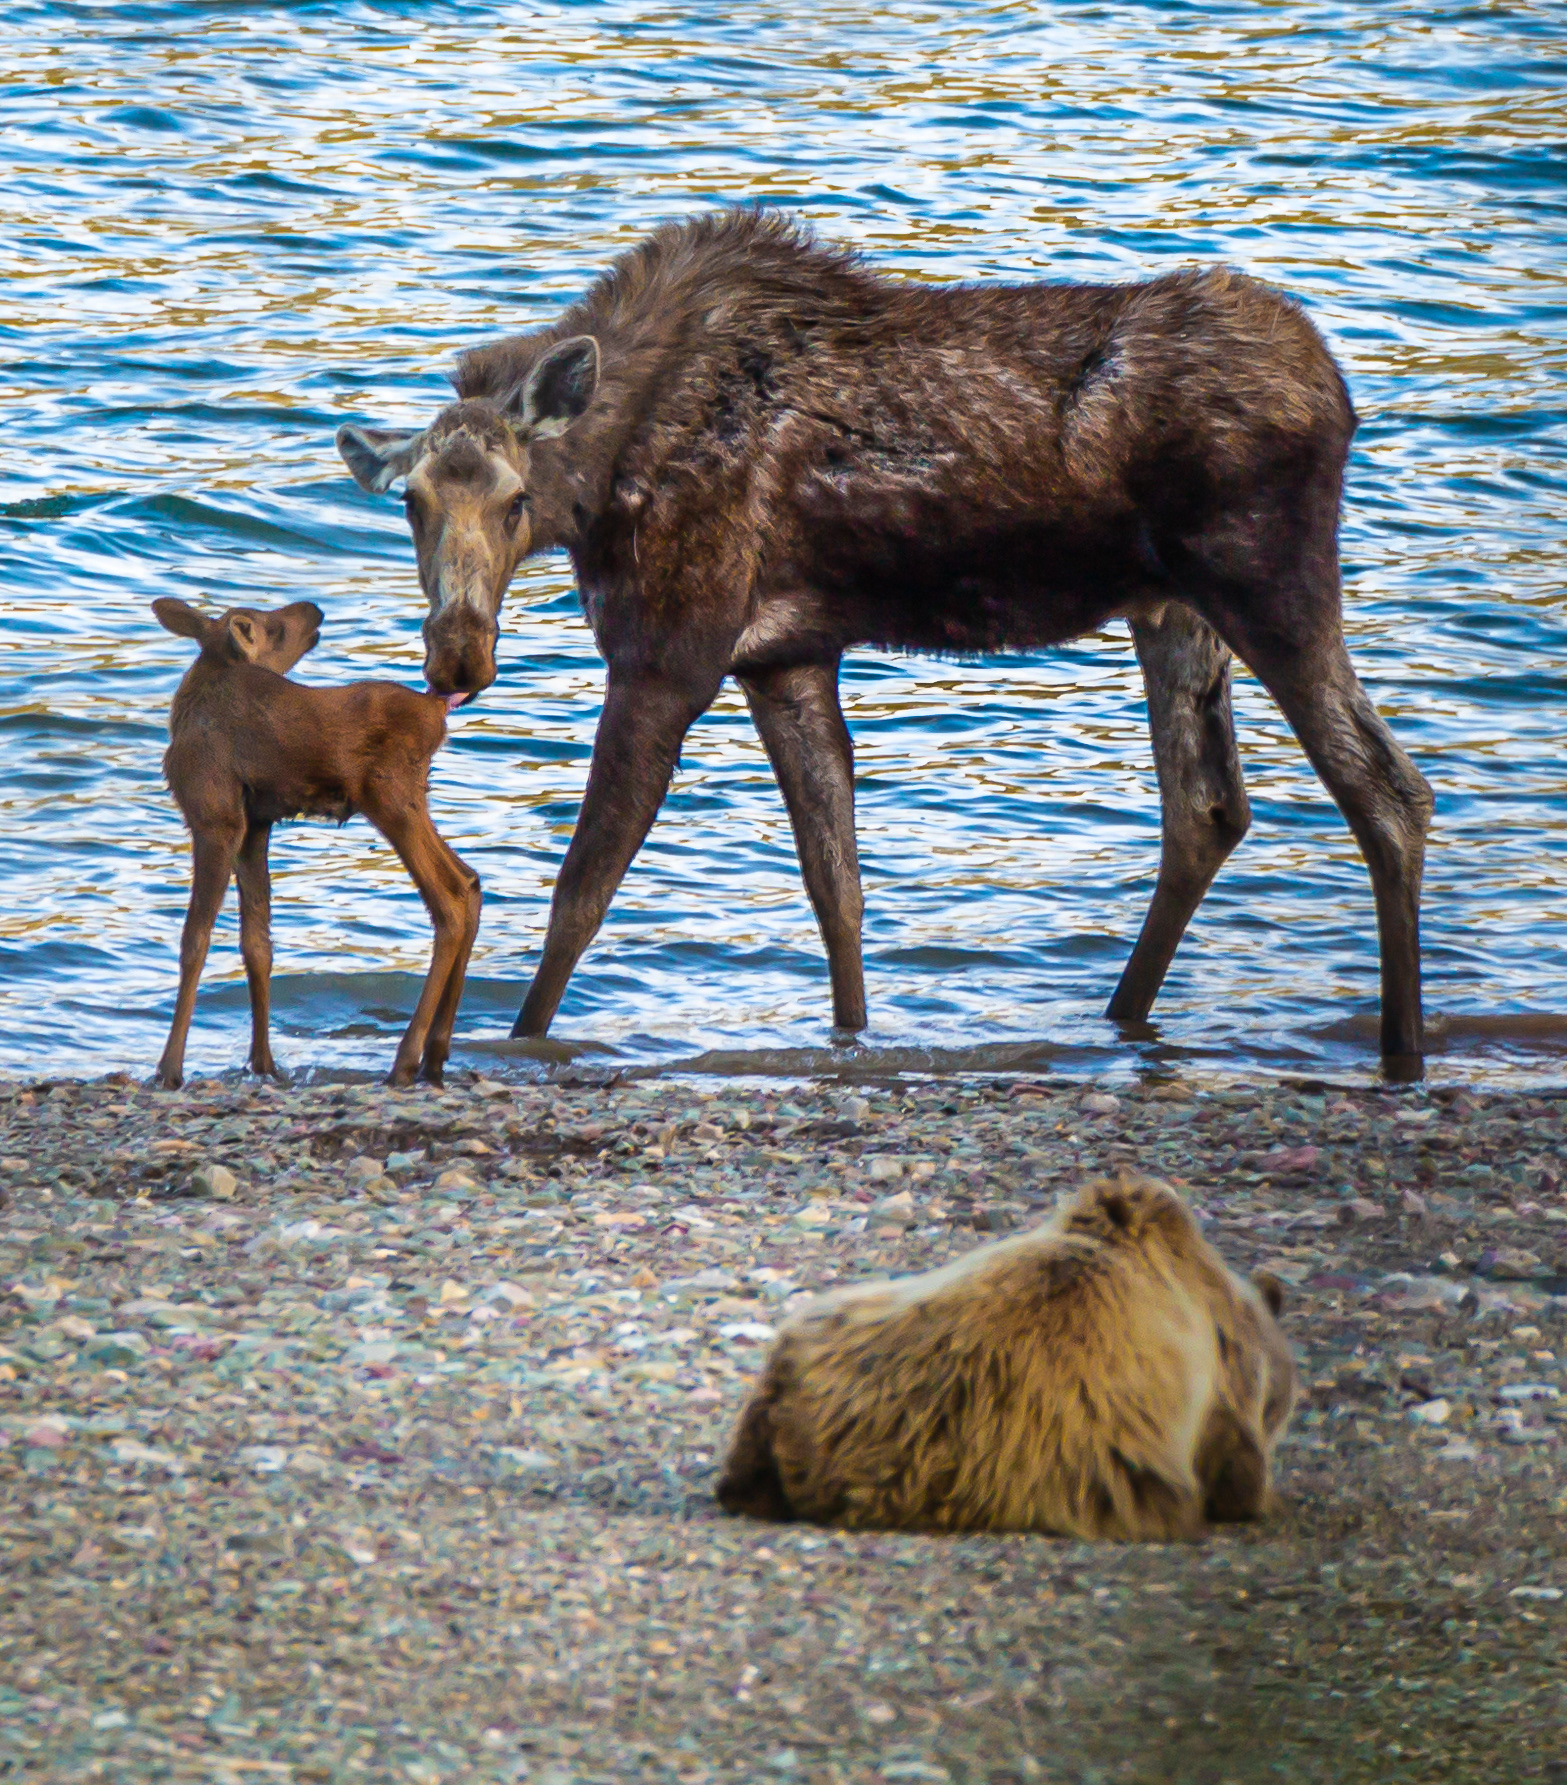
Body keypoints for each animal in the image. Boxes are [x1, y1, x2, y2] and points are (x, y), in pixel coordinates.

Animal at [151, 597, 480, 1090]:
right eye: (274, 625)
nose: (314, 609)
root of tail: (436, 712)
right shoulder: (255, 826)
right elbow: (257, 945)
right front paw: (263, 1062)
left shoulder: (215, 818)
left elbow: (196, 940)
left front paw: (170, 1068)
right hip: (409, 800)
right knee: (469, 880)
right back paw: (435, 1056)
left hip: (389, 796)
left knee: (450, 899)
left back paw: (405, 1059)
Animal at [335, 208, 1434, 1069]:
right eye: (410, 506)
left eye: (516, 501)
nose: (458, 653)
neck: (602, 484)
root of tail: (1343, 397)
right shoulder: (782, 659)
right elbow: (838, 887)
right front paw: (853, 1039)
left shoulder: (667, 654)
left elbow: (582, 890)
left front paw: (511, 1043)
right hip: (1172, 612)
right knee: (1205, 811)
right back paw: (1124, 1019)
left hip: (1267, 583)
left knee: (1385, 789)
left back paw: (1402, 1053)